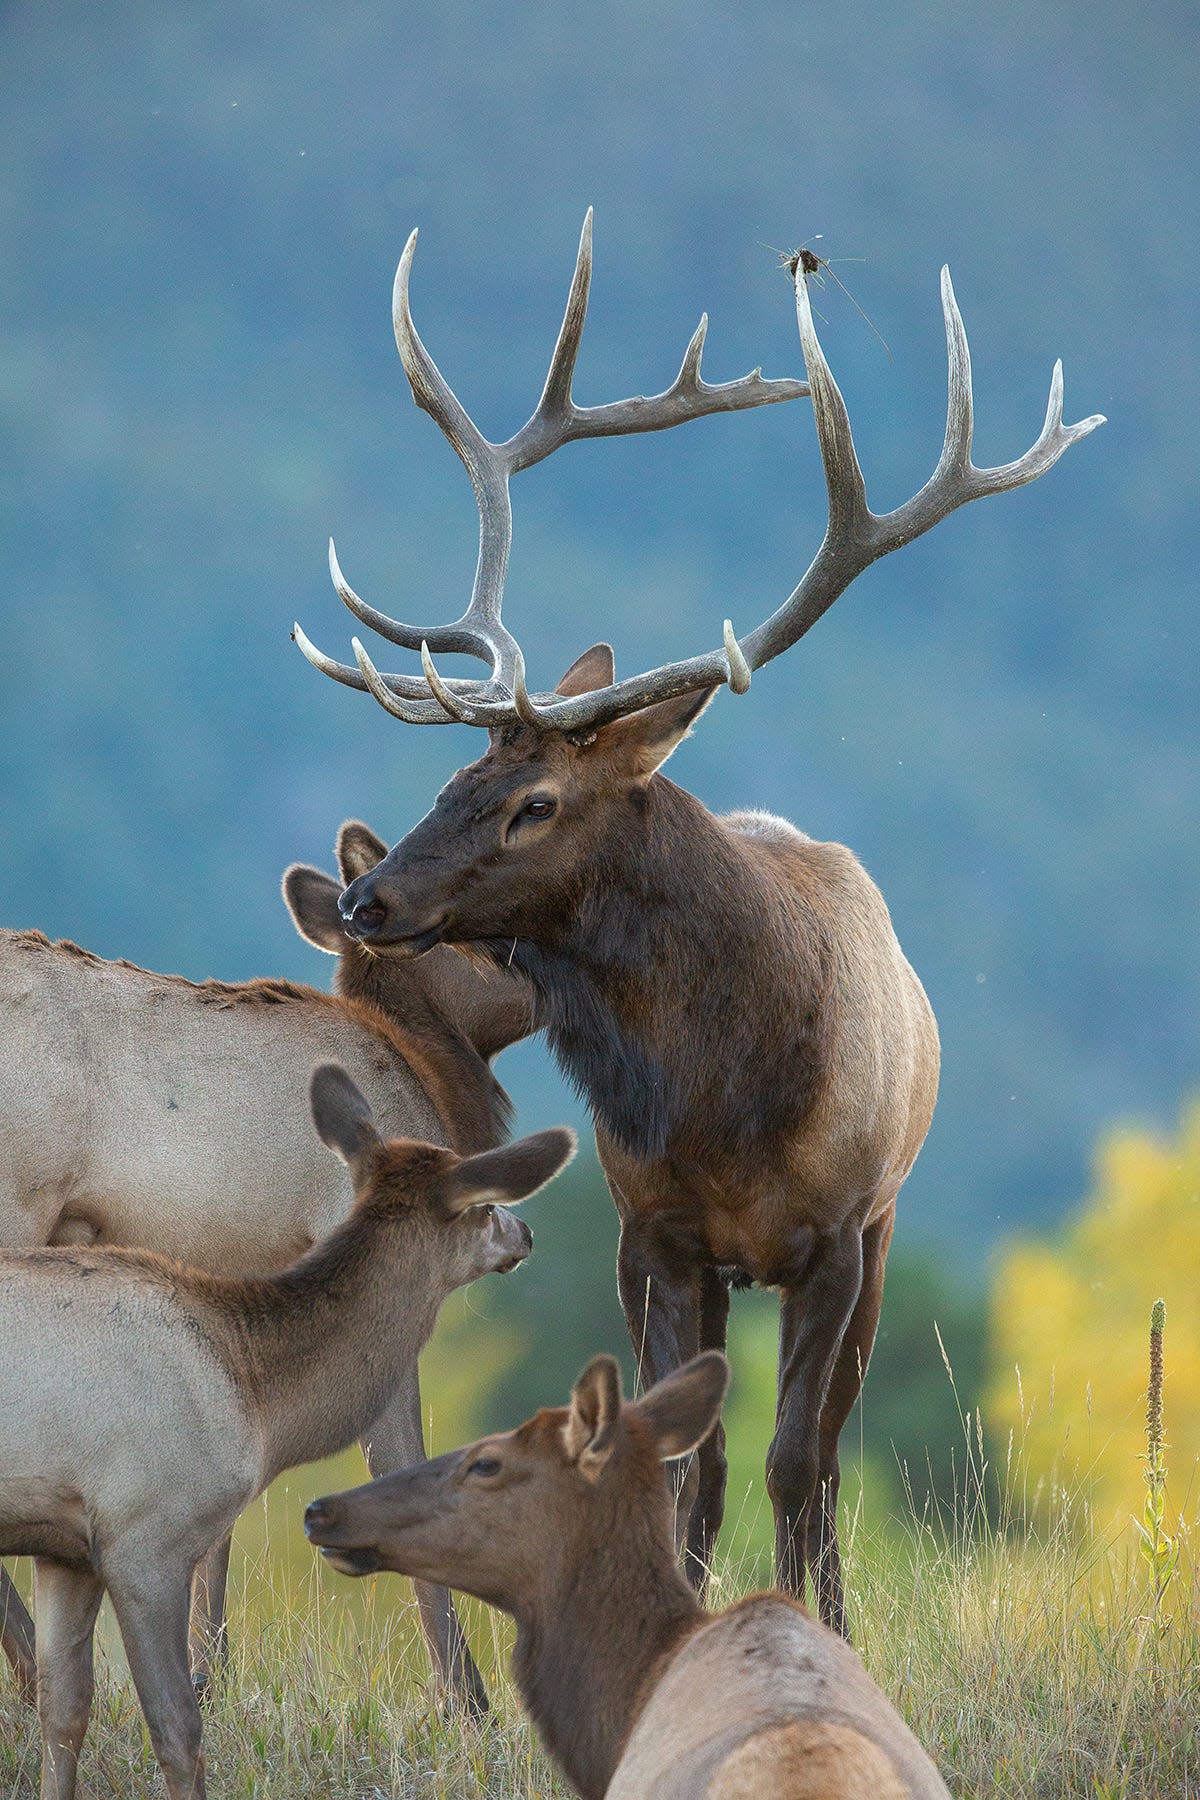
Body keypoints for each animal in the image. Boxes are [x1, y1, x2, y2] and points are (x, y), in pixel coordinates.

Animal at [0, 1058, 575, 1792]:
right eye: (483, 1204)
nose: (525, 1232)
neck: (256, 1400)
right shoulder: (145, 1535)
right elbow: (177, 1730)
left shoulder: (65, 1548)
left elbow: (64, 1713)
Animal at [295, 210, 1101, 1634]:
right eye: (457, 775)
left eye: (537, 802)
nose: (368, 895)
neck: (726, 1101)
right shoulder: (654, 1238)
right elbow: (688, 1458)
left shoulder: (835, 1241)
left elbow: (797, 1458)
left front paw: (815, 1631)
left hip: (884, 1233)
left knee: (823, 1453)